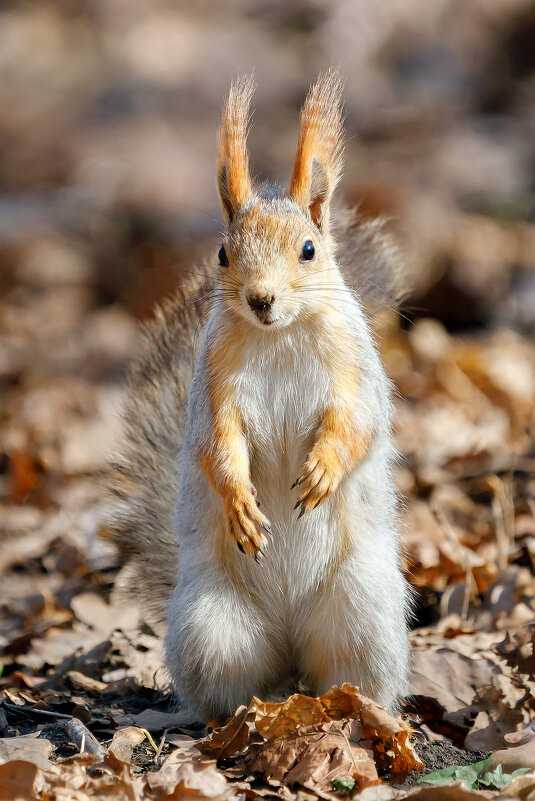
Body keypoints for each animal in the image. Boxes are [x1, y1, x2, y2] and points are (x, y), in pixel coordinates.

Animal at [108, 70, 410, 720]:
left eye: (309, 250)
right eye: (224, 252)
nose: (260, 299)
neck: (280, 334)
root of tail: (292, 652)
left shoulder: (354, 370)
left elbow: (356, 424)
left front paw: (322, 471)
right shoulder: (214, 384)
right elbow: (216, 444)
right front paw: (241, 503)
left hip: (364, 610)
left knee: (347, 674)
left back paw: (356, 707)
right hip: (213, 625)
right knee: (236, 683)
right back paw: (233, 717)